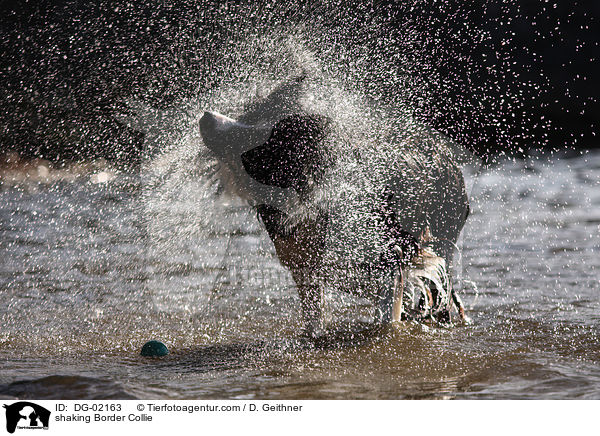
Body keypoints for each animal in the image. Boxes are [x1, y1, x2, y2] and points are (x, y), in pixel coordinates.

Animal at [198, 77, 468, 338]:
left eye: (258, 135)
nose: (206, 116)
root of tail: (447, 154)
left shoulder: (387, 260)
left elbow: (386, 315)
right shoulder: (302, 264)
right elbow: (314, 316)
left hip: (444, 232)